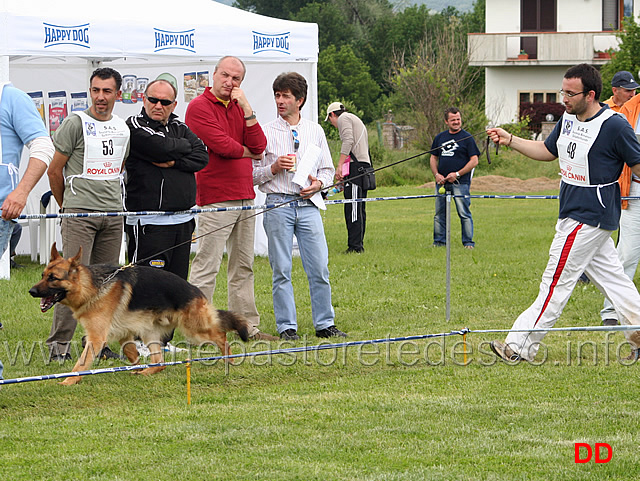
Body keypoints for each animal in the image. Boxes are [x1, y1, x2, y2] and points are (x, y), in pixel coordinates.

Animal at [30, 242, 250, 384]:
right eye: (42, 275)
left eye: (53, 278)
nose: (31, 291)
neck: (91, 287)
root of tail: (196, 291)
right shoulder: (123, 334)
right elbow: (131, 353)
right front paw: (135, 367)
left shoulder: (97, 337)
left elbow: (81, 363)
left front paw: (68, 381)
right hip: (150, 332)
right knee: (159, 363)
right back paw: (146, 372)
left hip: (194, 330)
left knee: (222, 336)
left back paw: (229, 359)